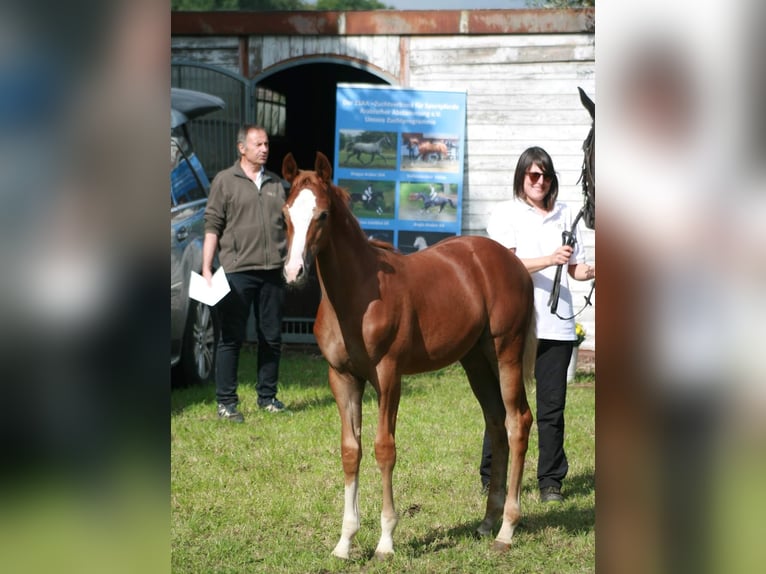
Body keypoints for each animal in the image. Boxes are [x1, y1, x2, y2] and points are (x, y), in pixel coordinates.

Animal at [280, 153, 536, 564]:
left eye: (322, 214)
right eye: (286, 213)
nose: (294, 272)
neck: (356, 294)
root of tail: (514, 264)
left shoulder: (388, 376)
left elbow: (385, 449)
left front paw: (385, 541)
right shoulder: (342, 378)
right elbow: (350, 451)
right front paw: (345, 542)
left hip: (505, 352)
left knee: (518, 422)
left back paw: (506, 530)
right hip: (476, 361)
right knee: (496, 424)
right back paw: (486, 522)